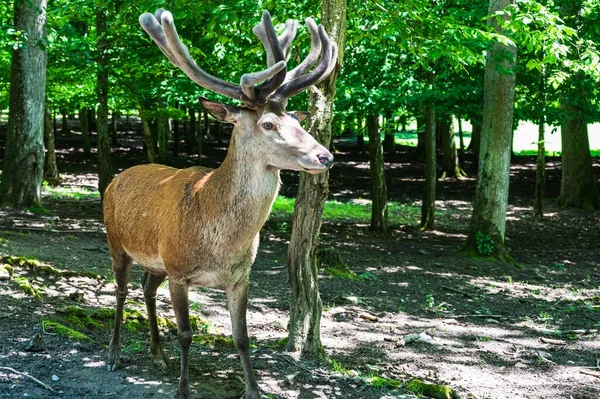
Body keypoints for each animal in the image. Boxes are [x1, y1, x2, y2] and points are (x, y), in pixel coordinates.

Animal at [103, 7, 338, 399]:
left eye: (295, 119)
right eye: (268, 124)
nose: (325, 156)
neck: (220, 242)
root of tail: (116, 177)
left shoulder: (240, 276)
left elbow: (242, 338)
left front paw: (254, 389)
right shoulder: (180, 272)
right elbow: (186, 333)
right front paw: (183, 389)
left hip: (156, 261)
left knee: (146, 288)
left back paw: (157, 354)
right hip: (116, 241)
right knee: (120, 291)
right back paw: (113, 354)